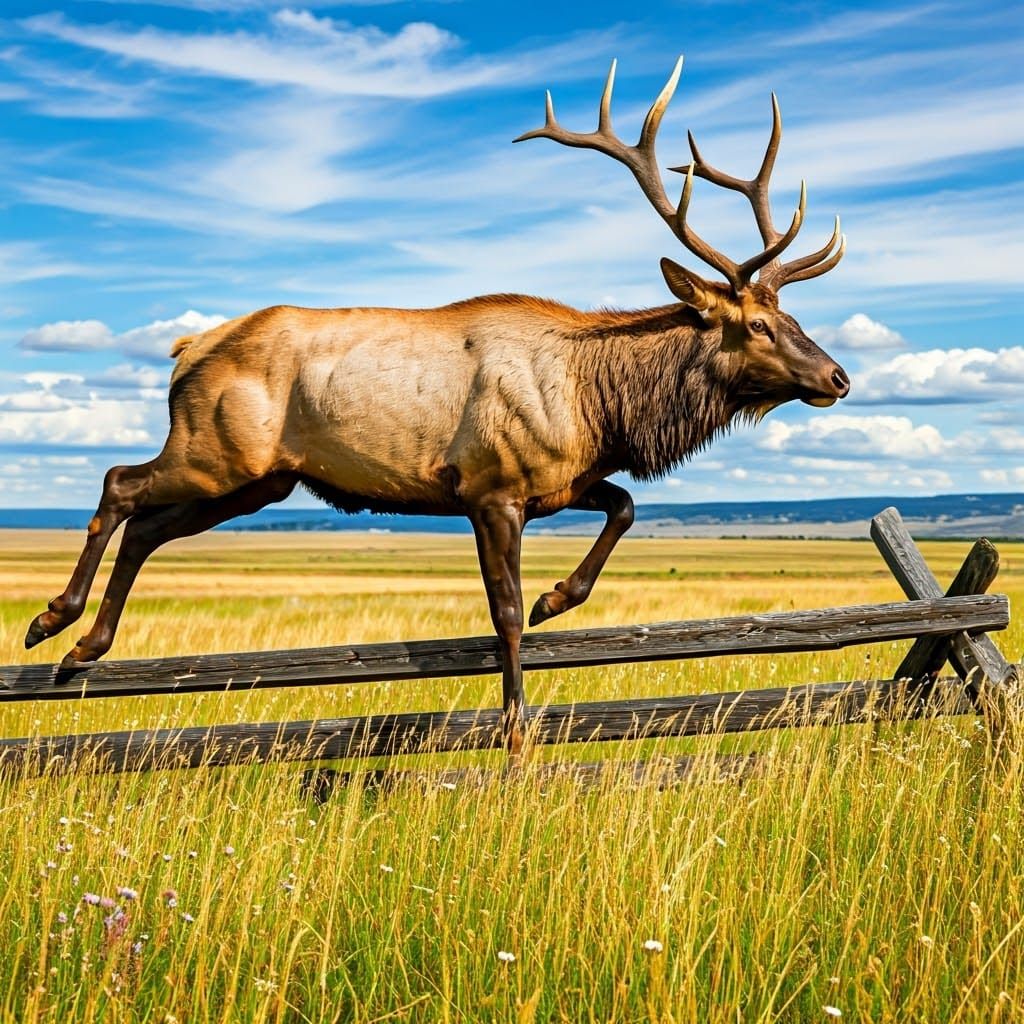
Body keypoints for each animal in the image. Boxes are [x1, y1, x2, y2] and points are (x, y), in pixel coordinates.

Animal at [24, 57, 849, 757]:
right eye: (756, 324)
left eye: (792, 316)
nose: (838, 377)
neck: (600, 406)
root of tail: (187, 349)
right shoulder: (491, 487)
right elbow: (503, 614)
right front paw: (517, 733)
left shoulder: (560, 484)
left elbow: (623, 507)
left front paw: (558, 598)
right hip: (214, 450)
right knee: (119, 483)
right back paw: (50, 619)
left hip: (260, 480)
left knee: (148, 526)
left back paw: (84, 648)